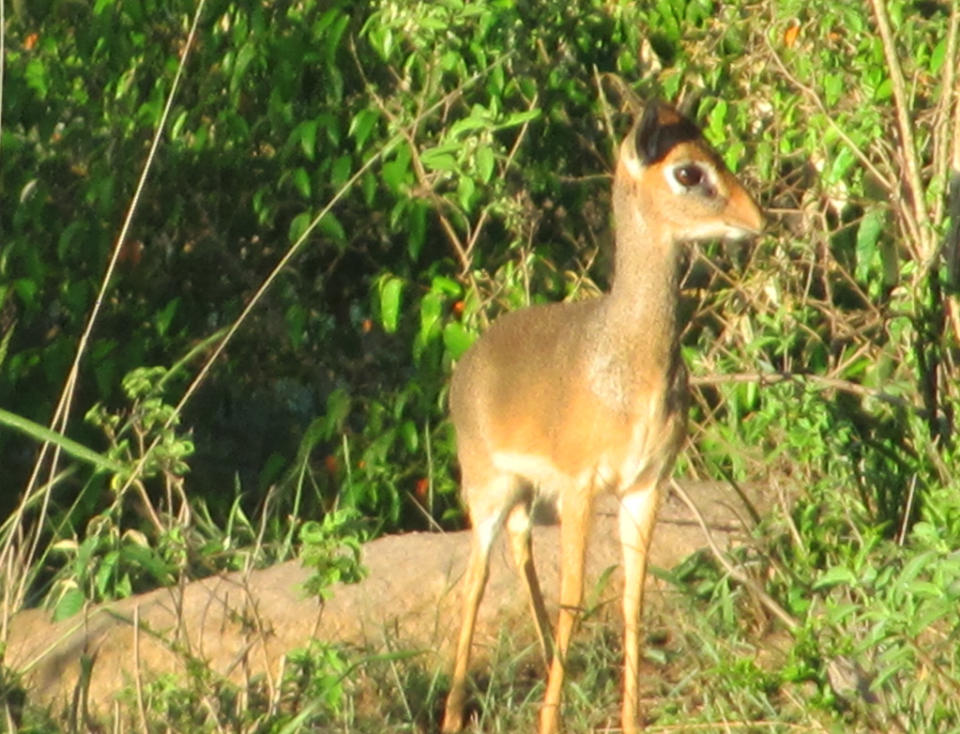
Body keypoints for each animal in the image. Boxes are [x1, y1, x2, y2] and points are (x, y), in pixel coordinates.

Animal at [442, 99, 764, 734]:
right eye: (689, 171)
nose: (756, 218)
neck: (629, 364)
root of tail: (468, 364)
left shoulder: (646, 485)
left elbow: (632, 599)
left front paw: (630, 718)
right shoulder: (582, 484)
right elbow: (574, 597)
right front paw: (549, 721)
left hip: (527, 494)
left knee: (519, 548)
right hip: (488, 488)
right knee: (475, 581)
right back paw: (454, 712)